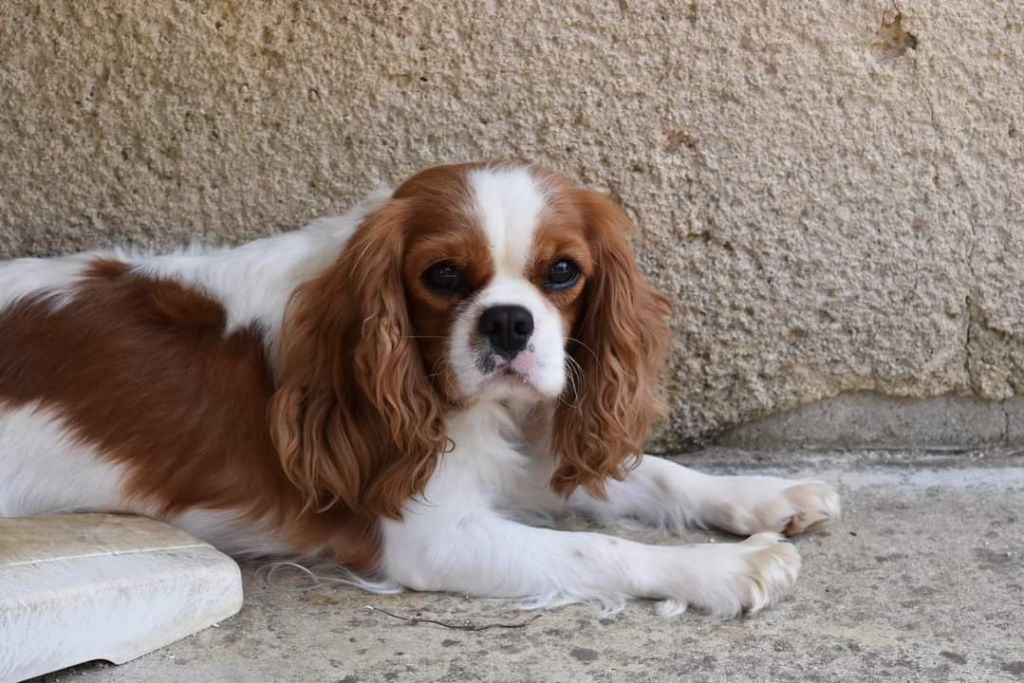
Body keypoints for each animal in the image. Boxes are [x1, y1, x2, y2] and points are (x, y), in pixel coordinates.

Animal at [0, 161, 839, 618]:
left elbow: (655, 474)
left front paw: (767, 495)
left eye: (562, 271)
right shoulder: (433, 535)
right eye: (441, 275)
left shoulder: (528, 449)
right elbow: (595, 547)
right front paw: (724, 569)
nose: (508, 322)